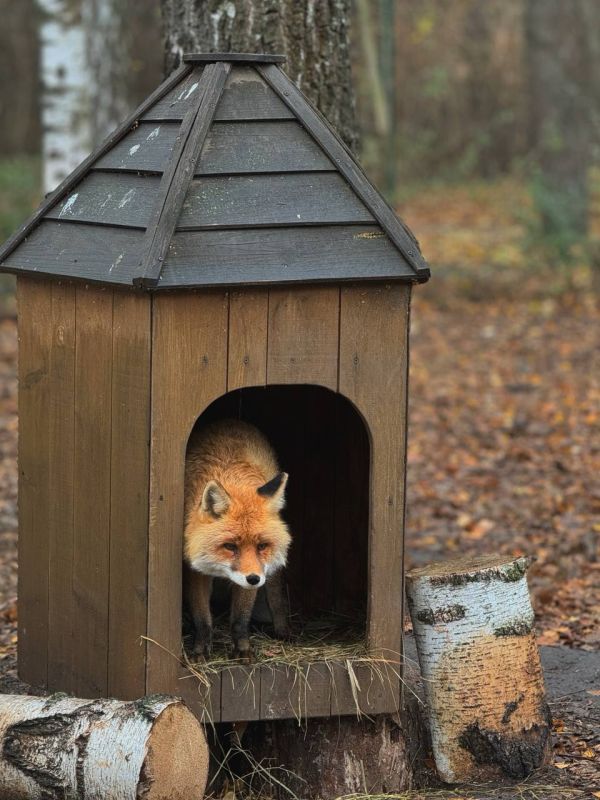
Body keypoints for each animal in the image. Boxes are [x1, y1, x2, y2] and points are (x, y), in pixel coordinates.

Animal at [185, 416, 292, 660]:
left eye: (261, 545)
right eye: (229, 546)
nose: (253, 579)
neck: (232, 477)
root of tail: (230, 419)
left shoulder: (257, 570)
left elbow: (240, 619)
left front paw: (242, 649)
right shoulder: (196, 569)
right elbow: (202, 619)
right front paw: (200, 650)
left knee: (276, 596)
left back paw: (282, 630)